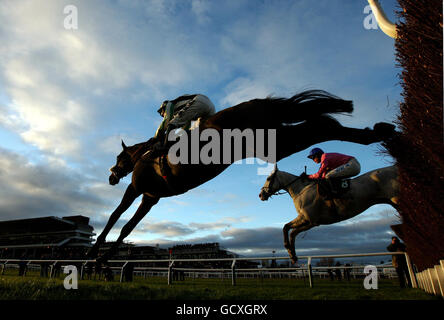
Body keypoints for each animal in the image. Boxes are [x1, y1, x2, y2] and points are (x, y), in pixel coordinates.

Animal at [256, 164, 398, 264]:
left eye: (268, 178)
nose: (261, 195)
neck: (301, 190)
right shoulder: (305, 219)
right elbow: (287, 228)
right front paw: (293, 256)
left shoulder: (311, 221)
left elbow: (290, 231)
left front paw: (290, 251)